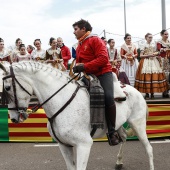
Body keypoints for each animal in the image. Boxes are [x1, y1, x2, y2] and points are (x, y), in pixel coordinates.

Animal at [0, 61, 154, 170]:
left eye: (7, 87)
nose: (13, 118)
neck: (62, 100)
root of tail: (135, 90)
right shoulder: (64, 145)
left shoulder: (84, 145)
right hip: (119, 124)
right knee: (124, 138)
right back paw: (119, 161)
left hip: (138, 124)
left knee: (148, 149)